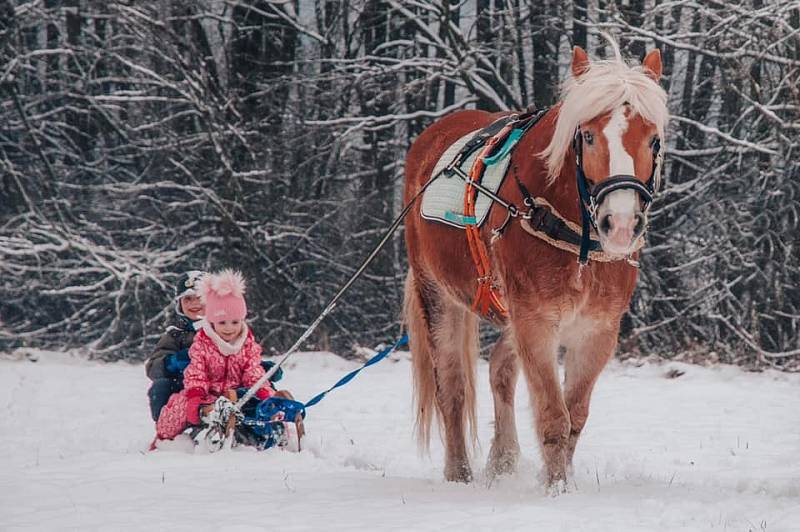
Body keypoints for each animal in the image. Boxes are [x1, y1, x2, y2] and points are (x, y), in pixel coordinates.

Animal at [400, 42, 668, 490]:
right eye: (588, 136)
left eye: (653, 140)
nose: (620, 224)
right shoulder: (536, 322)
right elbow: (553, 417)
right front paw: (555, 489)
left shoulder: (596, 331)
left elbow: (575, 416)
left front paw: (562, 482)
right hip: (438, 295)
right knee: (452, 388)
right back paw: (459, 474)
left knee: (501, 373)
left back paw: (503, 460)